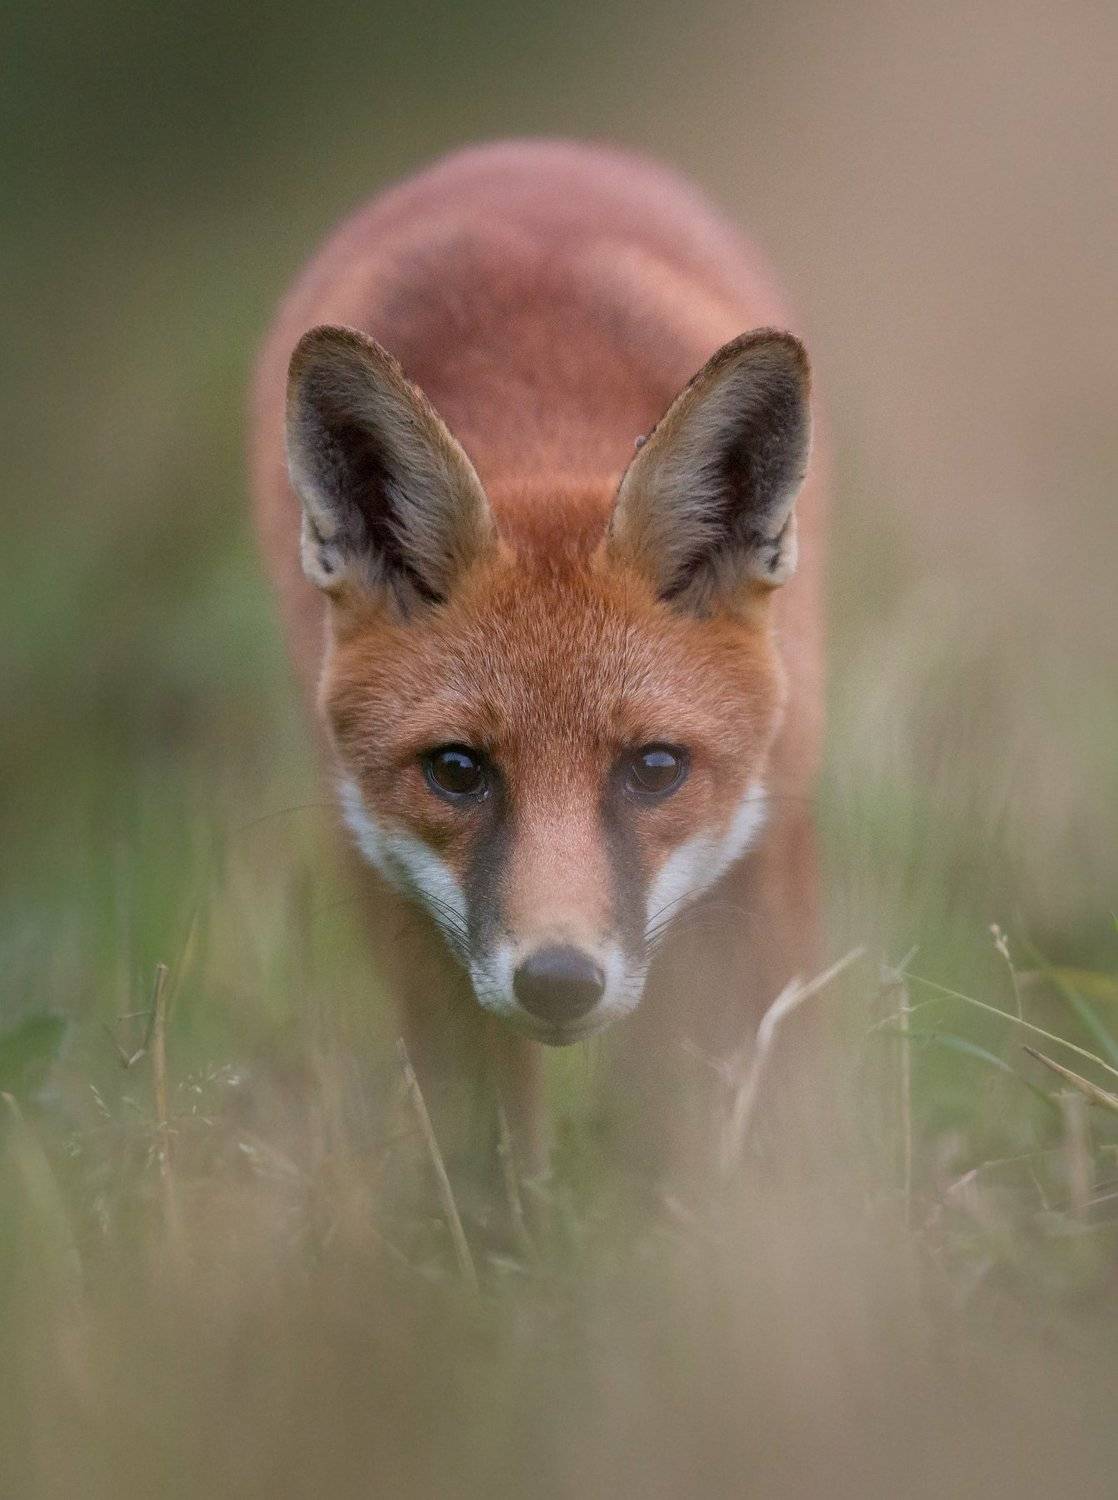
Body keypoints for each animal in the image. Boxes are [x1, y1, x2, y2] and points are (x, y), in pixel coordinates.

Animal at [251, 139, 825, 1170]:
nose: (559, 980)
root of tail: (521, 152)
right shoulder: (395, 886)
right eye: (456, 770)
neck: (540, 412)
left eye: (656, 768)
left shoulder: (768, 849)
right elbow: (482, 1148)